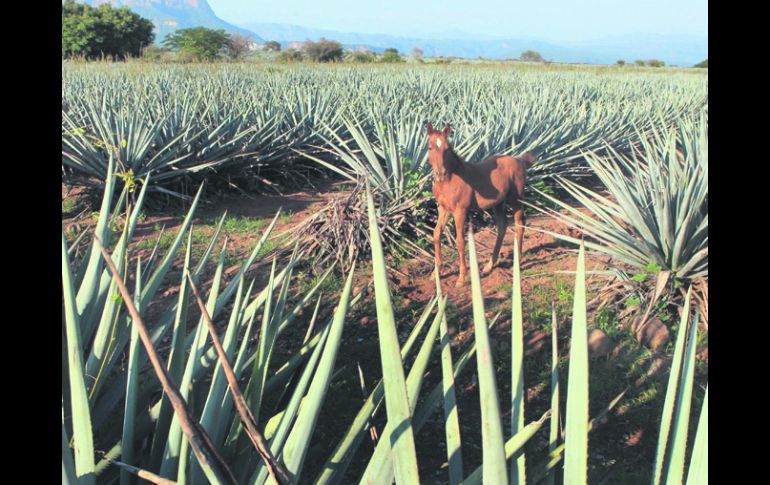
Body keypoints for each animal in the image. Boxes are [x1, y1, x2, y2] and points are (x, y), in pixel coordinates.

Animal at [426, 123, 536, 286]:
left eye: (447, 148)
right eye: (430, 147)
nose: (440, 174)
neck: (450, 180)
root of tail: (519, 160)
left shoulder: (460, 211)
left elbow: (460, 241)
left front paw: (461, 278)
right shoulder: (444, 210)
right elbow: (436, 234)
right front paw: (435, 273)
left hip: (515, 199)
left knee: (519, 224)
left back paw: (519, 261)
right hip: (498, 203)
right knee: (502, 227)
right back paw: (490, 265)